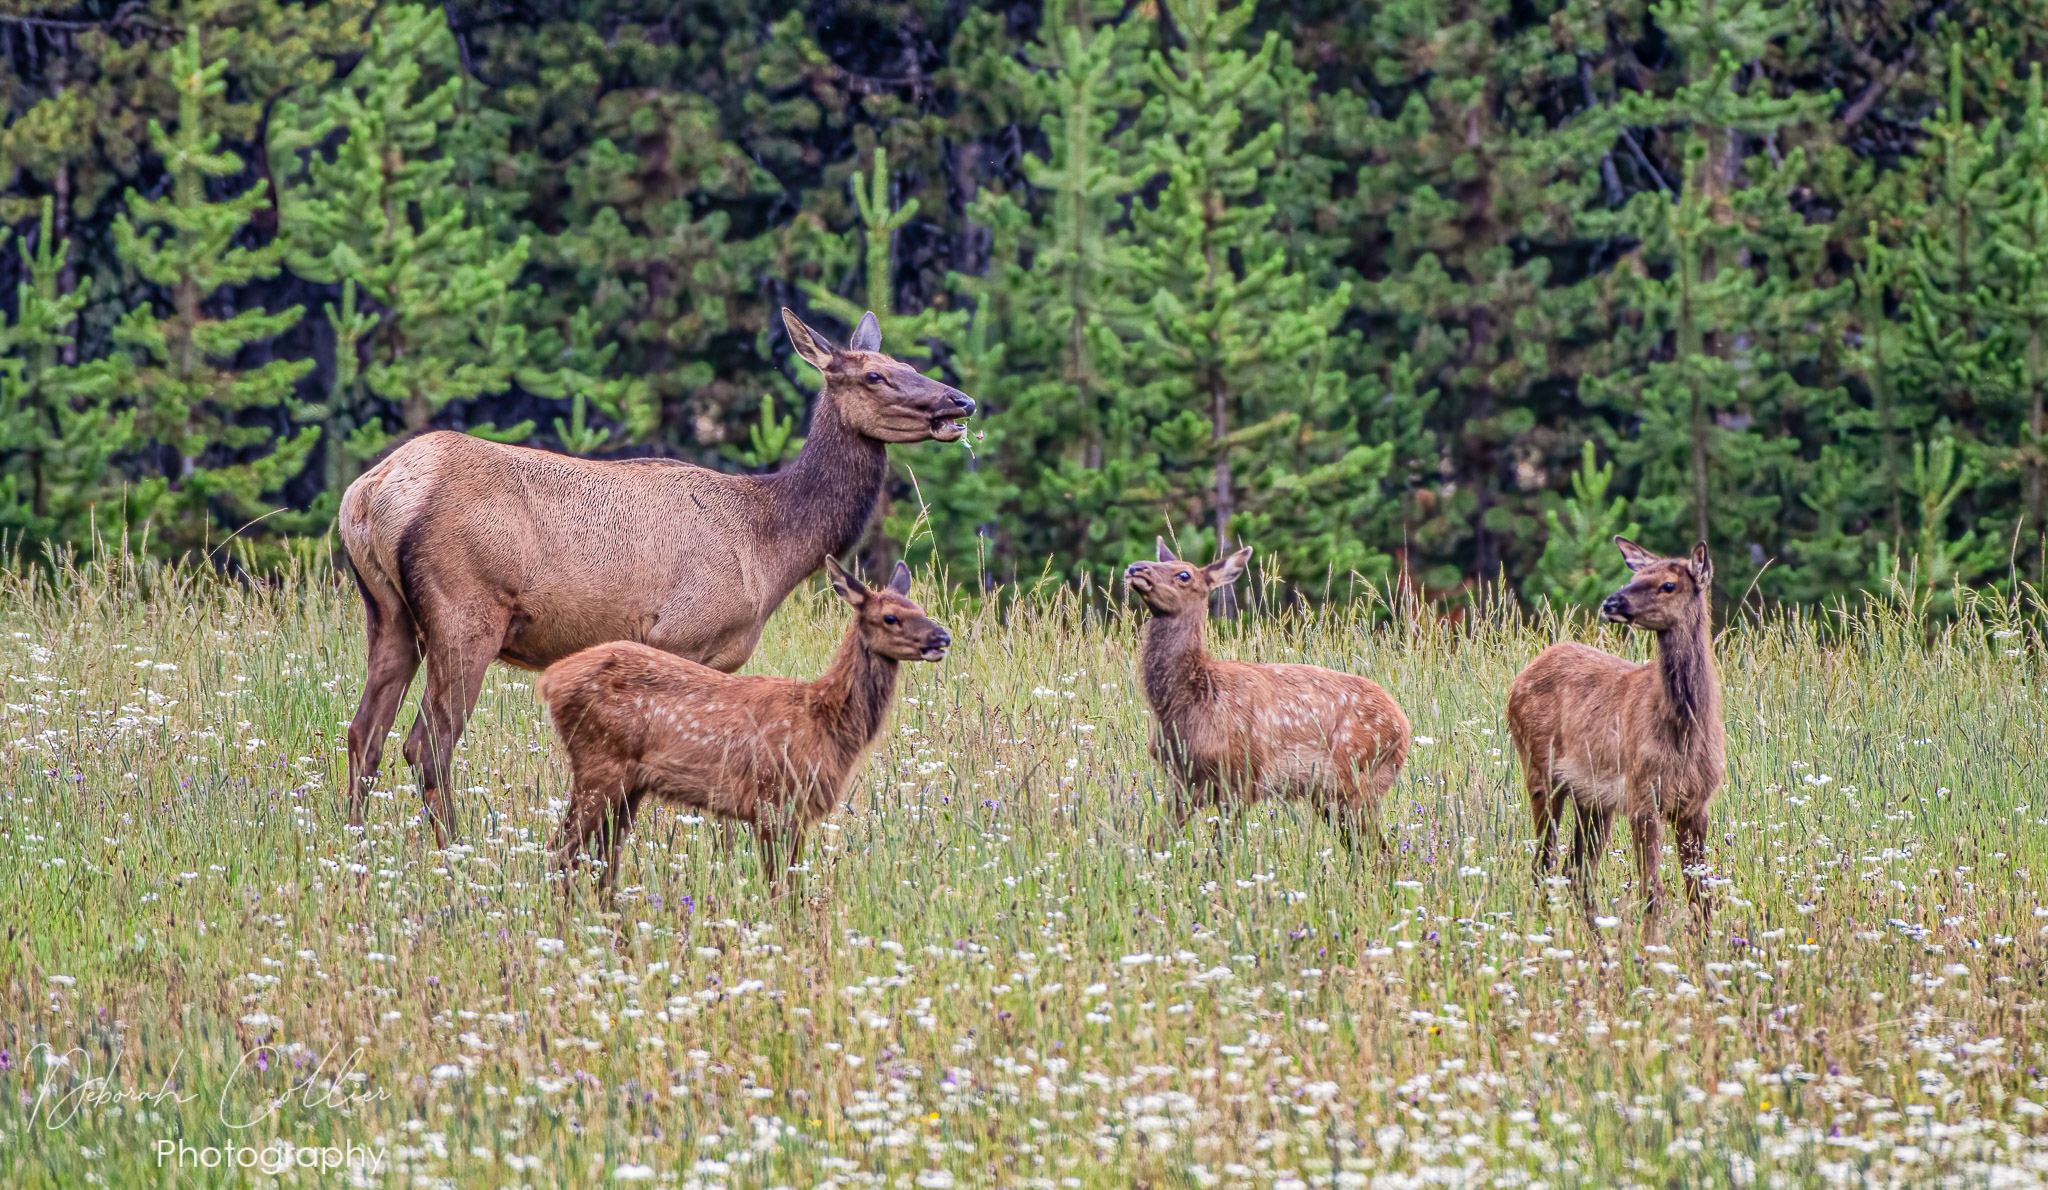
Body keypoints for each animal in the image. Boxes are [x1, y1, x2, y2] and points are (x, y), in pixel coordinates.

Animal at [337, 308, 974, 844]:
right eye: (875, 376)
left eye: (909, 365)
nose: (960, 402)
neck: (769, 548)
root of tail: (369, 496)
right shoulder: (684, 635)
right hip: (465, 613)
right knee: (427, 744)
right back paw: (452, 852)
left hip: (387, 613)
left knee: (363, 733)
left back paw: (356, 846)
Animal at [538, 556, 949, 900]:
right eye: (891, 617)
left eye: (921, 609)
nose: (942, 638)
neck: (824, 719)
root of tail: (550, 680)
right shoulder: (774, 799)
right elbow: (780, 887)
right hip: (599, 761)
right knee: (561, 851)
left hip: (630, 783)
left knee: (604, 858)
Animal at [1125, 540, 1411, 849]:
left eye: (1184, 574)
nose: (1135, 567)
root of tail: (1404, 727)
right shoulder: (1182, 780)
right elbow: (1156, 841)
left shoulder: (1242, 775)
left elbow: (1222, 849)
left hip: (1357, 778)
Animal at [1506, 536, 1726, 945]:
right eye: (1636, 576)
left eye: (1668, 584)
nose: (1612, 602)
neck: (1684, 732)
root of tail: (1520, 677)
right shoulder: (1643, 797)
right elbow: (1653, 889)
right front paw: (1651, 950)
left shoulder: (1696, 805)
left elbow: (1699, 893)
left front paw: (1707, 949)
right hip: (1539, 769)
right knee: (1544, 862)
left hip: (1593, 799)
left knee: (1577, 870)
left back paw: (1597, 944)